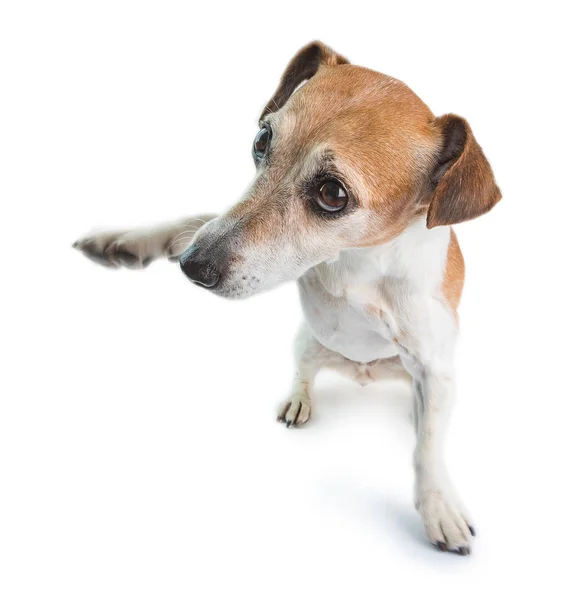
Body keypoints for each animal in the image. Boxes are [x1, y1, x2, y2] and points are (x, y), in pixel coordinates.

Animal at [72, 42, 500, 556]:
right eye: (262, 140)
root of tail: (364, 375)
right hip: (307, 342)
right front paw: (123, 239)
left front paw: (439, 506)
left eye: (332, 192)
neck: (353, 262)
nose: (193, 266)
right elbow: (186, 222)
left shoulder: (434, 363)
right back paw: (299, 399)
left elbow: (428, 447)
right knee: (304, 372)